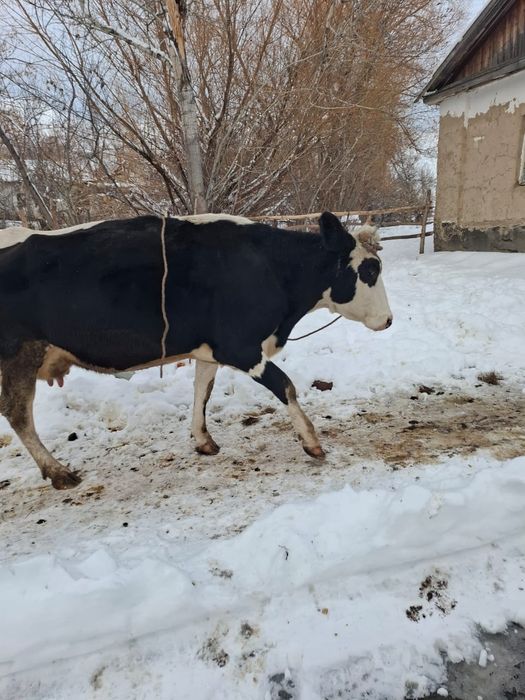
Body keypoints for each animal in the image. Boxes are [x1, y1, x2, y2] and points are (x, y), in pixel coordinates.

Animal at [0, 212, 392, 489]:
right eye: (370, 270)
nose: (389, 320)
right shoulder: (240, 346)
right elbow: (286, 386)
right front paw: (312, 442)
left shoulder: (210, 350)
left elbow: (202, 391)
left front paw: (203, 440)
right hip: (19, 354)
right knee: (18, 414)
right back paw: (58, 472)